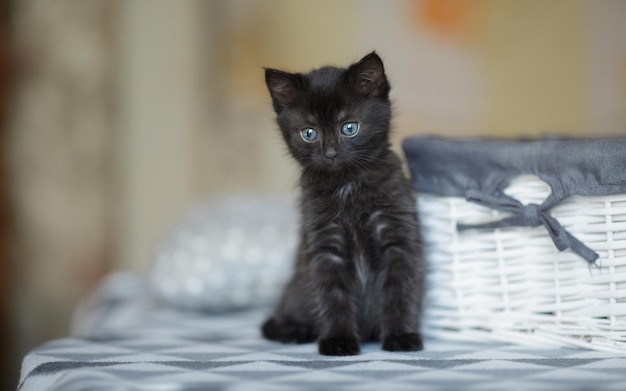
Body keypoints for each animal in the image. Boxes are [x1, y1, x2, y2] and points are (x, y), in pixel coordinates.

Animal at [260, 52, 422, 358]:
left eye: (349, 127)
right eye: (309, 133)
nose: (331, 153)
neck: (347, 185)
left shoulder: (397, 236)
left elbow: (400, 291)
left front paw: (401, 337)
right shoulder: (325, 245)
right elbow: (332, 296)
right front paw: (338, 341)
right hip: (295, 293)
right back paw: (294, 331)